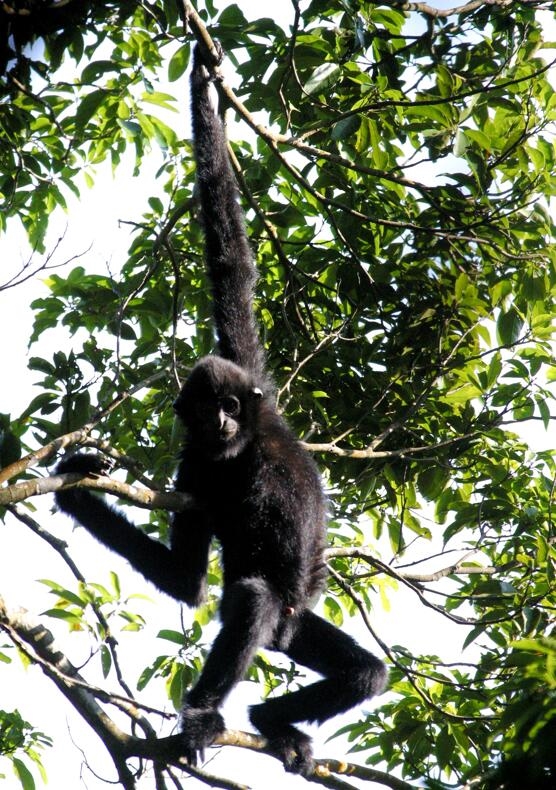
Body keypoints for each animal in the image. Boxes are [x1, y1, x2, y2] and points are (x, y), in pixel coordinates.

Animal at [55, 43, 387, 775]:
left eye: (231, 403)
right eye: (205, 412)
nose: (224, 422)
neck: (242, 454)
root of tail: (284, 640)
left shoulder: (256, 387)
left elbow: (231, 258)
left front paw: (204, 86)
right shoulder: (194, 468)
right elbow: (188, 582)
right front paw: (75, 485)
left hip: (300, 629)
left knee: (363, 670)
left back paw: (268, 719)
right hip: (284, 629)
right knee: (254, 602)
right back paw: (217, 715)